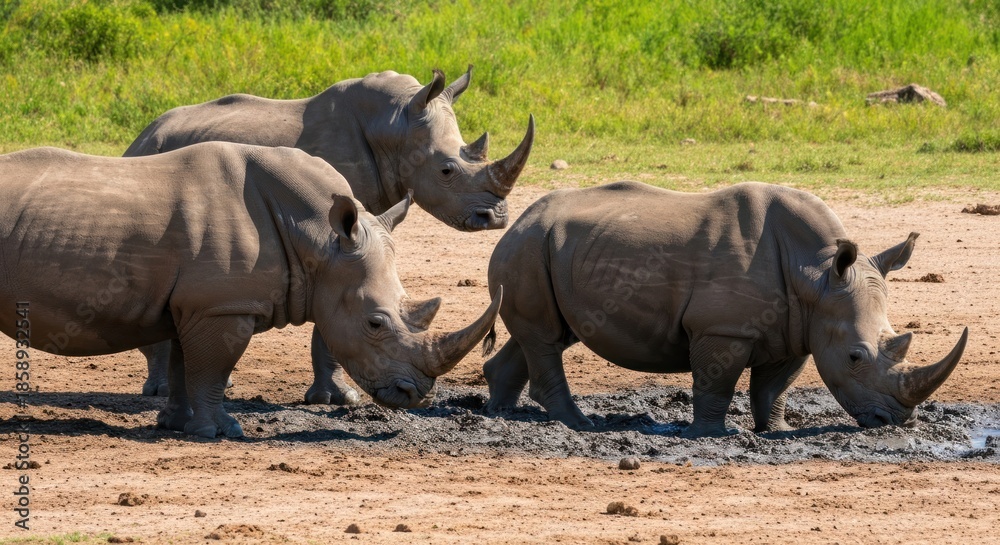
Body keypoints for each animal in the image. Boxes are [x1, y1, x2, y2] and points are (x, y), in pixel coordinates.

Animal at [0, 142, 501, 438]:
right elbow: (212, 370)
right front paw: (221, 431)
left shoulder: (197, 304)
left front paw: (175, 424)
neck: (317, 236)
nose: (416, 395)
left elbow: (185, 366)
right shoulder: (223, 306)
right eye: (375, 323)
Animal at [124, 67, 533, 405]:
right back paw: (161, 391)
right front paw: (340, 399)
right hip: (148, 161)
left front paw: (336, 396)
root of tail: (144, 133)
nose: (495, 218)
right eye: (447, 170)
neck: (395, 123)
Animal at [482, 181, 968, 437]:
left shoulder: (799, 328)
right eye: (854, 357)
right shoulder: (723, 328)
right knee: (544, 338)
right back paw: (578, 425)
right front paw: (713, 434)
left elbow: (774, 387)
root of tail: (517, 220)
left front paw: (777, 431)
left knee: (544, 336)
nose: (897, 421)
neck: (816, 272)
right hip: (528, 246)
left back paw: (499, 414)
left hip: (552, 249)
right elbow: (716, 382)